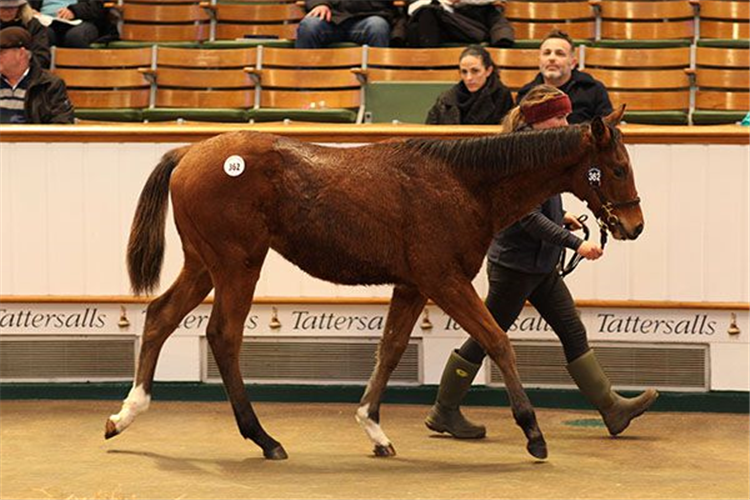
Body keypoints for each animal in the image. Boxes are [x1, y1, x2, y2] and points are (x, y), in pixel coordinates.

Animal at [106, 104, 648, 460]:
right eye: (619, 167)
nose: (634, 226)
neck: (461, 182)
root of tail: (190, 152)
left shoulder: (412, 285)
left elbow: (390, 349)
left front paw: (375, 429)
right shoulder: (443, 279)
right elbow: (496, 339)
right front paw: (533, 433)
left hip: (203, 265)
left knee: (160, 316)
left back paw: (125, 415)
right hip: (237, 266)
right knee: (223, 336)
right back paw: (263, 438)